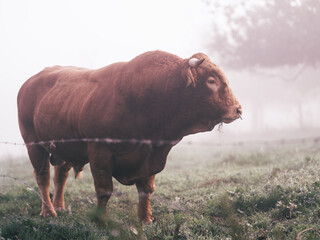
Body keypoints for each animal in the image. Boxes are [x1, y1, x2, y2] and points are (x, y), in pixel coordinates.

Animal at [17, 50, 241, 223]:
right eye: (211, 80)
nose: (238, 109)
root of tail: (30, 82)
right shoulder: (100, 152)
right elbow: (104, 190)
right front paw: (101, 219)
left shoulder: (150, 155)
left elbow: (146, 189)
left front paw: (146, 218)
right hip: (34, 144)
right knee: (43, 177)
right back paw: (49, 211)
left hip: (64, 147)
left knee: (60, 176)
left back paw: (59, 206)